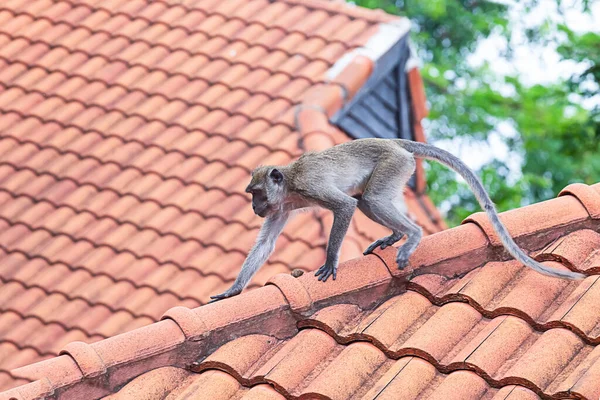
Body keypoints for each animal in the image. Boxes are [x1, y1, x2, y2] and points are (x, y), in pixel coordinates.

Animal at [210, 139, 580, 302]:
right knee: (368, 201)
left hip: (394, 163)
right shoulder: (283, 207)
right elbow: (266, 243)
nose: (255, 207)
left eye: (257, 193)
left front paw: (330, 261)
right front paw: (234, 290)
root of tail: (392, 142)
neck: (287, 183)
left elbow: (344, 206)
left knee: (367, 200)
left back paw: (411, 235)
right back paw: (394, 236)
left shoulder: (308, 186)